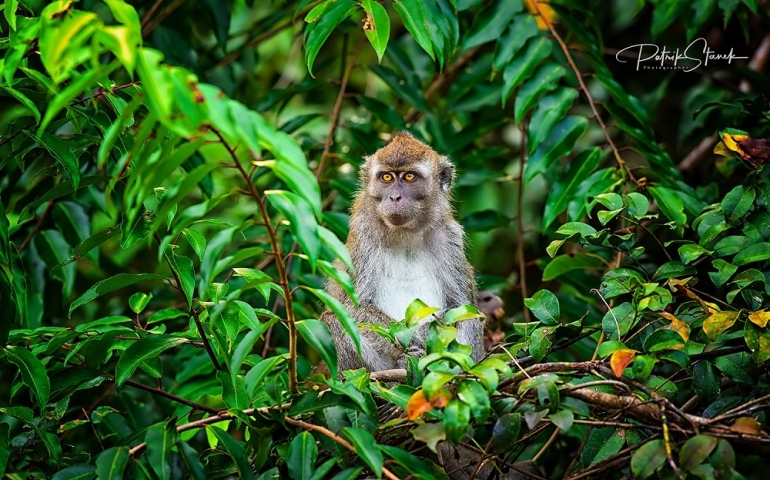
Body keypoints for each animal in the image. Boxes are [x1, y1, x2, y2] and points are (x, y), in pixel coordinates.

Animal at [320, 131, 484, 372]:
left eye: (408, 177)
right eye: (387, 178)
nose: (395, 197)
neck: (405, 233)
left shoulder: (450, 238)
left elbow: (461, 305)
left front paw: (423, 335)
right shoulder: (363, 234)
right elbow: (352, 305)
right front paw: (413, 339)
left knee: (468, 317)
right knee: (334, 319)